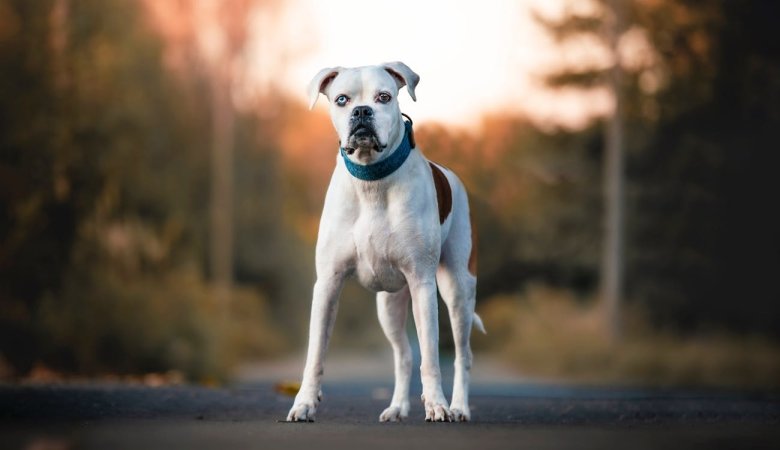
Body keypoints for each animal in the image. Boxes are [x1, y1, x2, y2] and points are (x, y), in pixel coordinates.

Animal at [284, 62, 482, 422]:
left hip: (457, 291)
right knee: (403, 355)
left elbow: (431, 357)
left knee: (462, 355)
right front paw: (303, 403)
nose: (362, 111)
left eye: (384, 97)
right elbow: (315, 354)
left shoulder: (422, 283)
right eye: (342, 99)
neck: (372, 180)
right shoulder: (328, 283)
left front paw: (437, 405)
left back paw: (459, 407)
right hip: (389, 307)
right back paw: (397, 407)